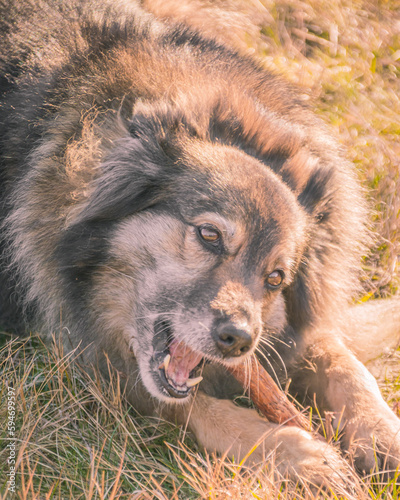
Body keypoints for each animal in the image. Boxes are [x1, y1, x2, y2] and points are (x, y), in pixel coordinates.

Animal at [0, 0, 400, 486]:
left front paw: (382, 433)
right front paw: (299, 454)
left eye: (276, 278)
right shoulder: (96, 358)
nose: (238, 341)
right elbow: (197, 409)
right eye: (209, 235)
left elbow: (344, 365)